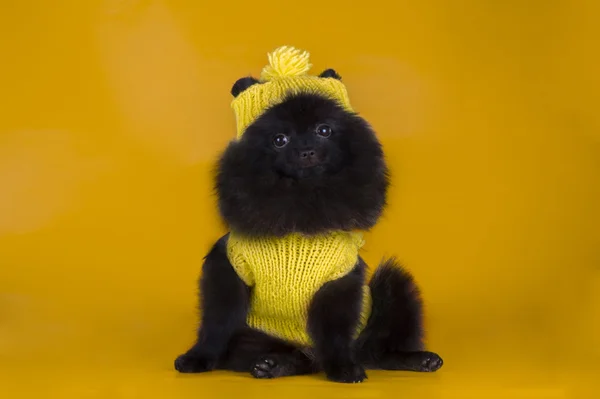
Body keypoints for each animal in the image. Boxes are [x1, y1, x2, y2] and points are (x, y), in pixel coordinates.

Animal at [173, 61, 440, 382]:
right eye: (280, 139)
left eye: (324, 130)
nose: (306, 150)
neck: (302, 204)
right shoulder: (229, 269)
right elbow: (215, 324)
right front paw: (198, 357)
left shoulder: (338, 281)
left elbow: (335, 333)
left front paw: (343, 367)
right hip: (257, 336)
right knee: (291, 356)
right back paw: (272, 364)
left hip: (392, 288)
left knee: (378, 350)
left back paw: (418, 360)